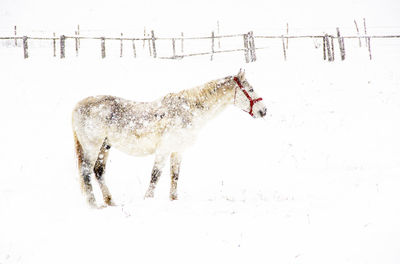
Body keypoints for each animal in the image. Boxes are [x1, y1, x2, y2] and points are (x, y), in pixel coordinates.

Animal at [72, 70, 266, 208]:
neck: (189, 110)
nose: (263, 111)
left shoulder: (177, 151)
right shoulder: (164, 150)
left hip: (105, 146)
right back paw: (94, 205)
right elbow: (155, 176)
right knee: (86, 172)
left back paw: (110, 201)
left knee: (98, 171)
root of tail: (78, 106)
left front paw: (174, 200)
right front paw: (148, 200)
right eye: (250, 89)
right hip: (92, 147)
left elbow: (175, 176)